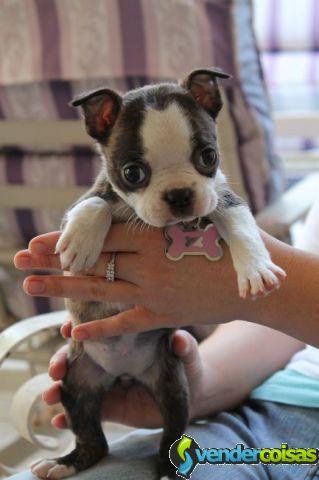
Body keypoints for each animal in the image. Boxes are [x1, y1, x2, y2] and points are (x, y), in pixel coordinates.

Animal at [31, 68, 288, 480]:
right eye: (132, 173)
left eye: (208, 156)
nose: (179, 194)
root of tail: (123, 373)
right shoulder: (87, 198)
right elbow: (94, 204)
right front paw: (82, 242)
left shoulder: (222, 196)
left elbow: (242, 225)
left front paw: (256, 268)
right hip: (74, 377)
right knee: (93, 439)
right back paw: (64, 463)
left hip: (172, 384)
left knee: (170, 429)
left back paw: (168, 466)